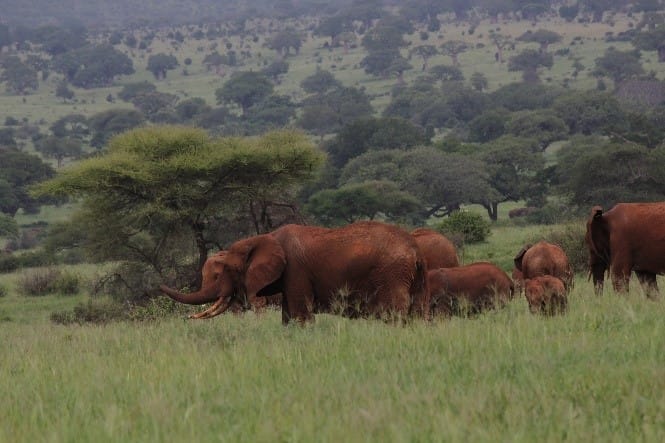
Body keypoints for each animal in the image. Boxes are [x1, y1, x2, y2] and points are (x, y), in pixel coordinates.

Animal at [159, 221, 428, 322]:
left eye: (228, 271)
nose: (187, 318)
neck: (264, 238)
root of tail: (415, 251)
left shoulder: (296, 272)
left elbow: (300, 316)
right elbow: (288, 317)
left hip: (392, 275)